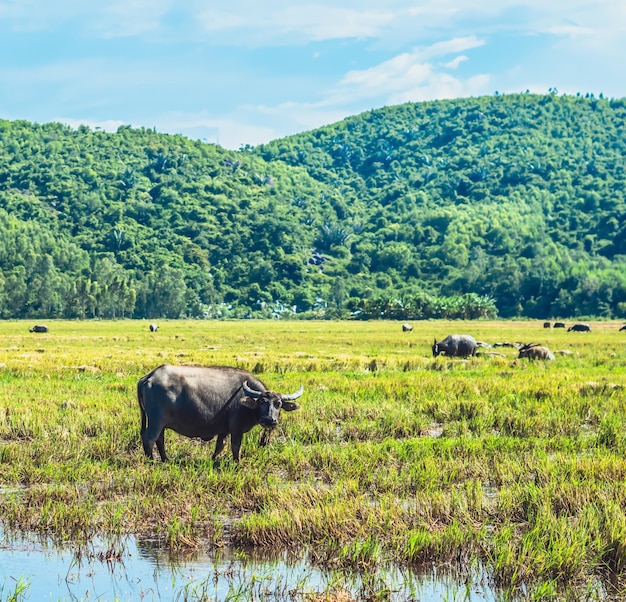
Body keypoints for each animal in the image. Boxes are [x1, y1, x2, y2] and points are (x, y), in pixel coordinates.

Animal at [137, 364, 302, 462]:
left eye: (278, 404)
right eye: (262, 402)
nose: (270, 420)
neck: (245, 399)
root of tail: (149, 377)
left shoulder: (224, 429)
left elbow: (219, 446)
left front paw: (213, 459)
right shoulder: (236, 429)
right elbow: (236, 447)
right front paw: (237, 463)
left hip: (161, 424)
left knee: (160, 440)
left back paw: (165, 459)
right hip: (156, 421)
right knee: (149, 439)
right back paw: (151, 462)